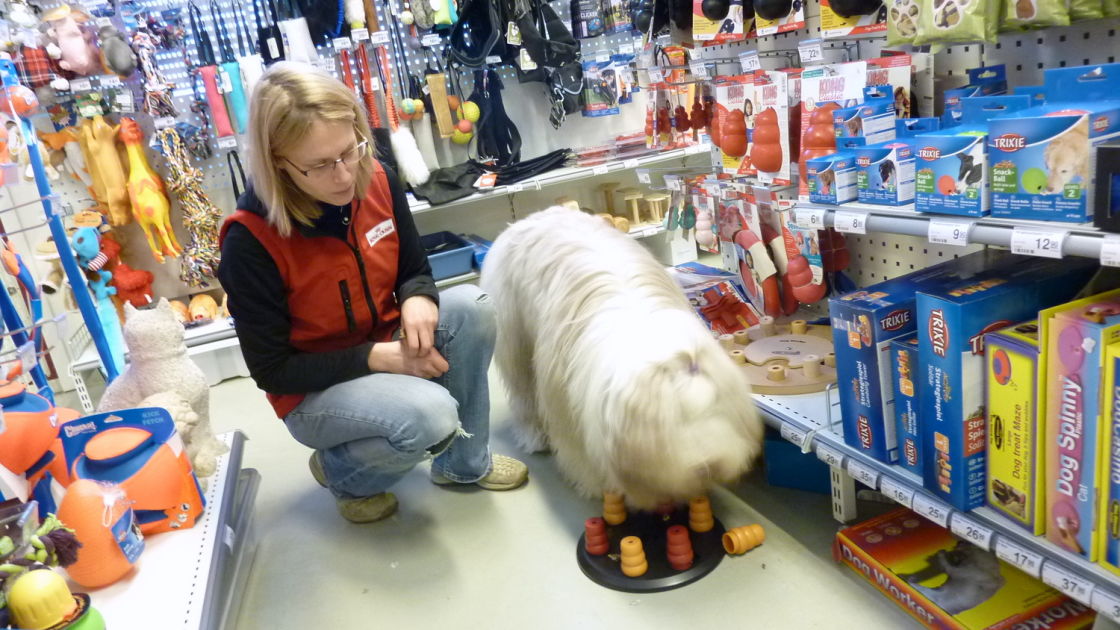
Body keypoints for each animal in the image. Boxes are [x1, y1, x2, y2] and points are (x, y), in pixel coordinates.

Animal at [481, 206, 761, 504]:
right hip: (514, 339)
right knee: (523, 392)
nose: (709, 464)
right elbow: (576, 448)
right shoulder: (564, 402)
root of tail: (532, 216)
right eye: (673, 420)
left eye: (716, 407)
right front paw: (592, 483)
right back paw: (533, 437)